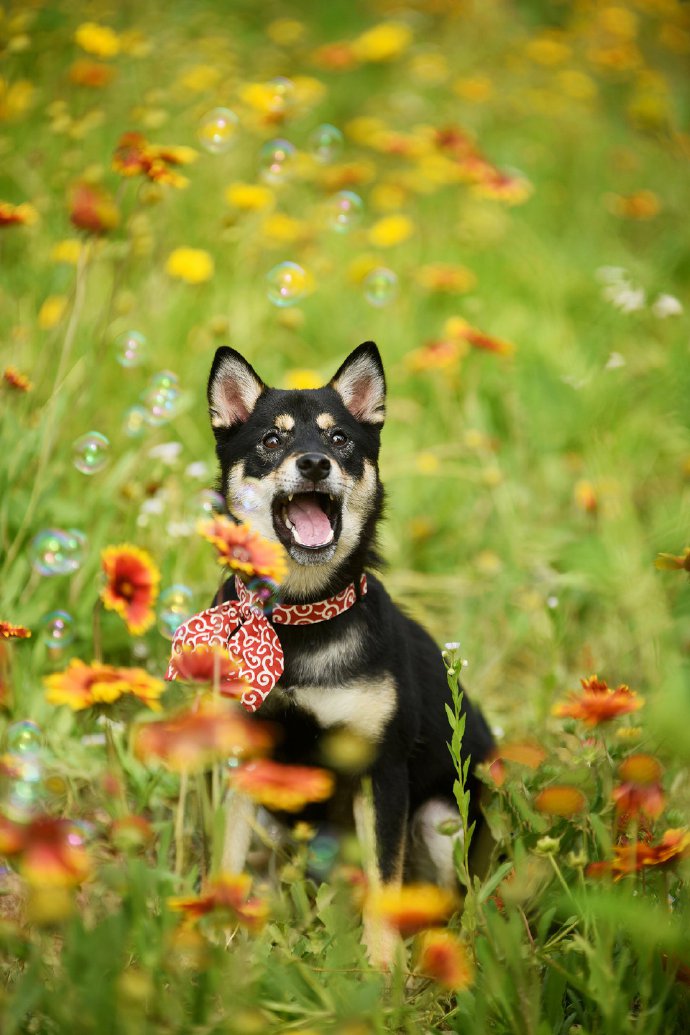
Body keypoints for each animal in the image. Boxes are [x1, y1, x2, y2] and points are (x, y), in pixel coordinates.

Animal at [204, 339, 496, 960]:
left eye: (339, 439)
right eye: (272, 440)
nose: (315, 463)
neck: (297, 619)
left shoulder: (381, 773)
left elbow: (385, 888)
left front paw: (383, 972)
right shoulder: (242, 760)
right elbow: (225, 862)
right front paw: (209, 940)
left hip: (440, 818)